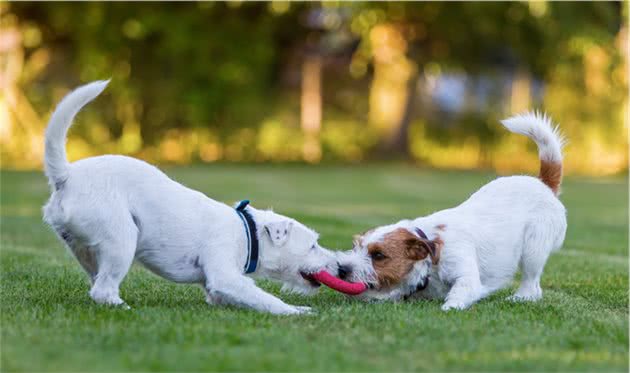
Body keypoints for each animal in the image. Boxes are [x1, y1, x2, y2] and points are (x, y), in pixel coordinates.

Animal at [41, 80, 340, 314]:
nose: (339, 266)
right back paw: (125, 308)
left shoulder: (219, 288)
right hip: (121, 238)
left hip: (86, 250)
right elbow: (266, 299)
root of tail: (67, 175)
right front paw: (297, 311)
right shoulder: (225, 276)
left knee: (97, 284)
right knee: (103, 290)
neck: (248, 233)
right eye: (313, 245)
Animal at [338, 112, 572, 310]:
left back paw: (521, 297)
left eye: (378, 255)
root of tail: (543, 183)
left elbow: (460, 293)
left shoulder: (466, 276)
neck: (431, 253)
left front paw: (450, 307)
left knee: (532, 284)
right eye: (355, 246)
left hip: (533, 251)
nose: (342, 269)